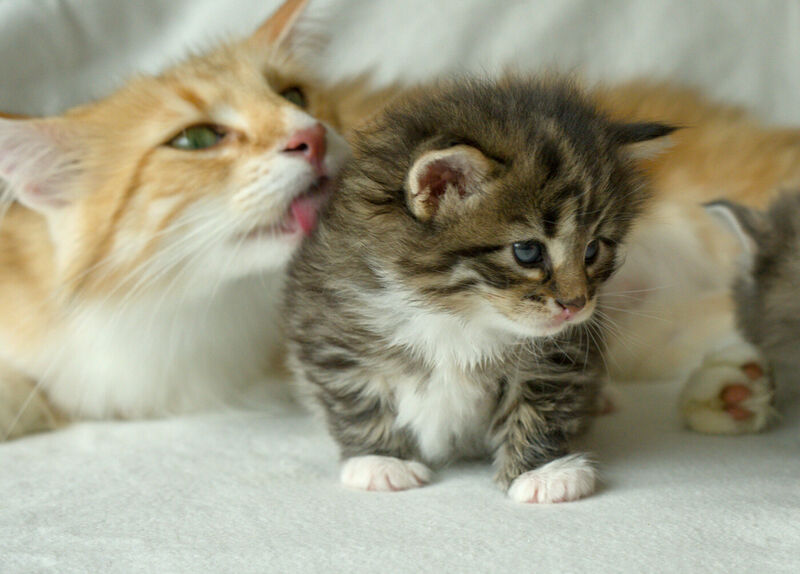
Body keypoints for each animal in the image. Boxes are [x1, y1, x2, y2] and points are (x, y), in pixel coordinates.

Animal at [284, 77, 672, 504]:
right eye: (527, 251)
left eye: (592, 250)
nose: (576, 304)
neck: (456, 314)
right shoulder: (332, 330)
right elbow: (356, 399)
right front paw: (381, 461)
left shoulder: (559, 350)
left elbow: (542, 403)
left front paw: (544, 472)